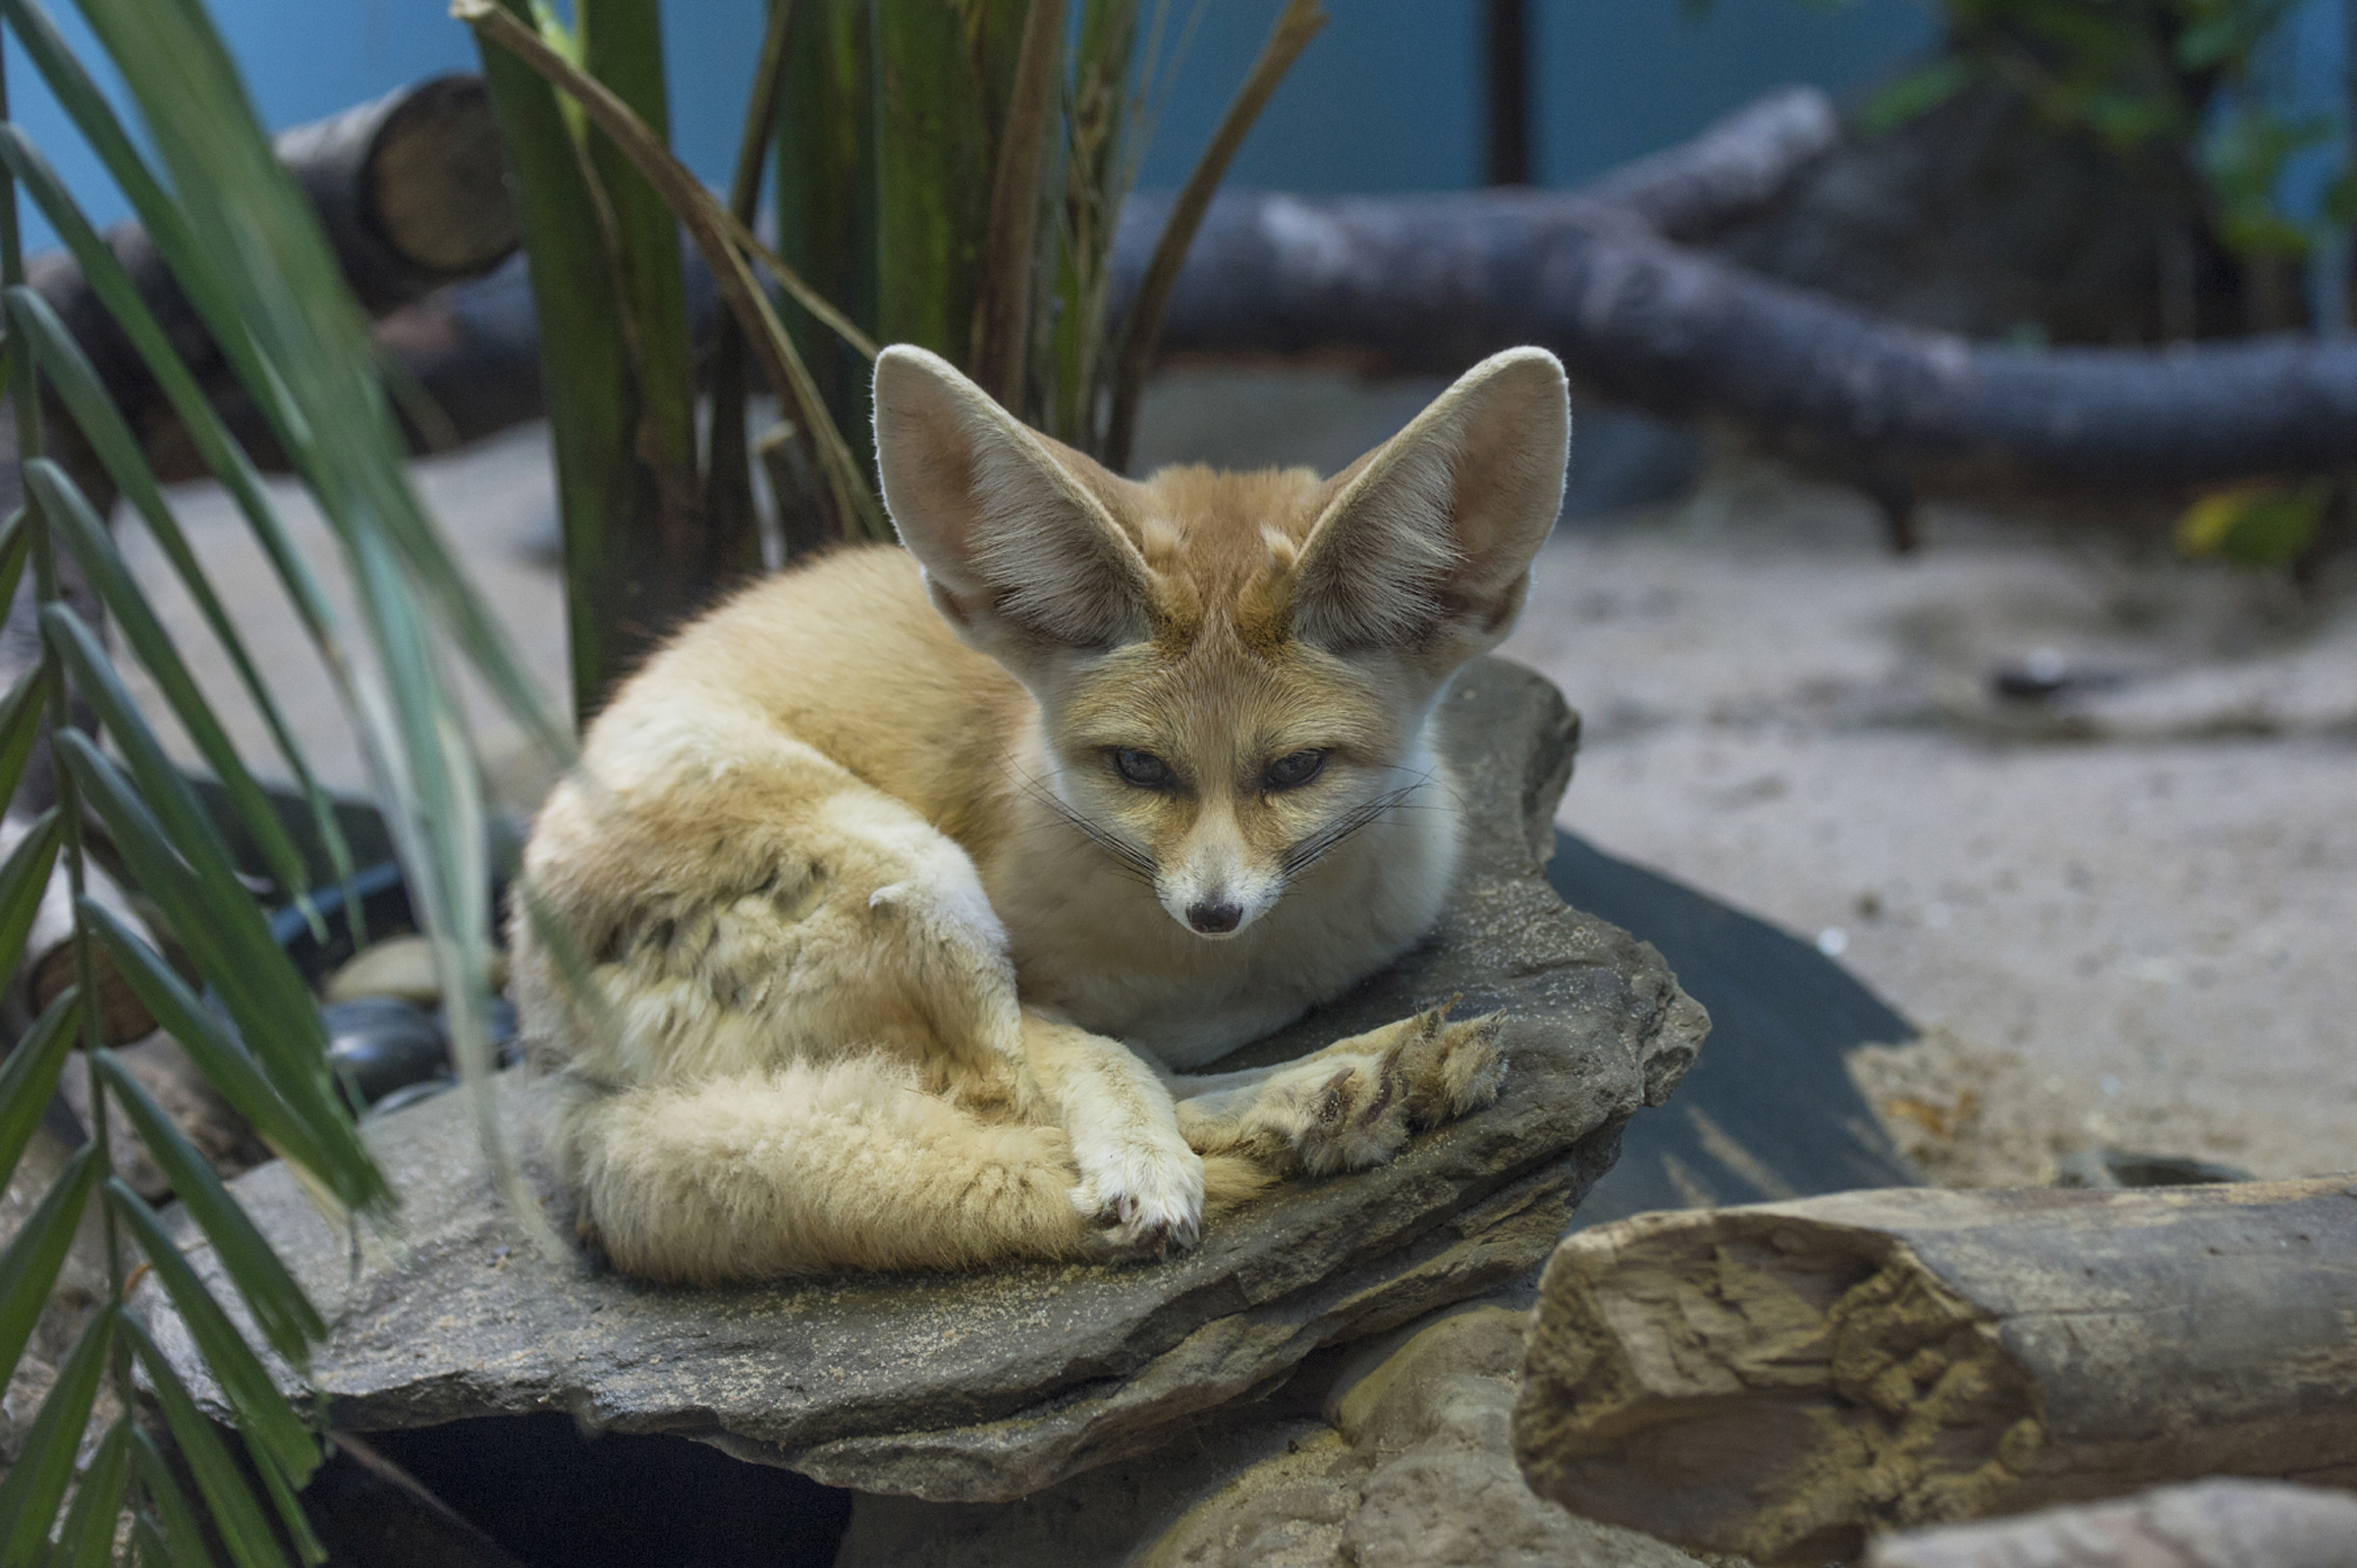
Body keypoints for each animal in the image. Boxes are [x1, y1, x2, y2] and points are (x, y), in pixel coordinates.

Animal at [507, 343, 1571, 1283]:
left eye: (1296, 768)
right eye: (1140, 766)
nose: (1213, 911)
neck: (1210, 972)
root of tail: (536, 1042)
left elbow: (1132, 1052)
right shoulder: (1041, 979)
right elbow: (1100, 1060)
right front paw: (1153, 1151)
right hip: (921, 879)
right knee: (1005, 1099)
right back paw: (1314, 1098)